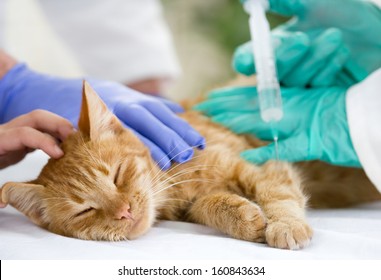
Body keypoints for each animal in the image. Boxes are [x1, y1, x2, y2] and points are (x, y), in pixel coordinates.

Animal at [0, 81, 378, 249]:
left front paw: (285, 225)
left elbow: (279, 196)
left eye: (118, 175)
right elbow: (209, 206)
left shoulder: (265, 165)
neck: (177, 177)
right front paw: (243, 218)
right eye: (85, 210)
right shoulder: (192, 206)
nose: (124, 212)